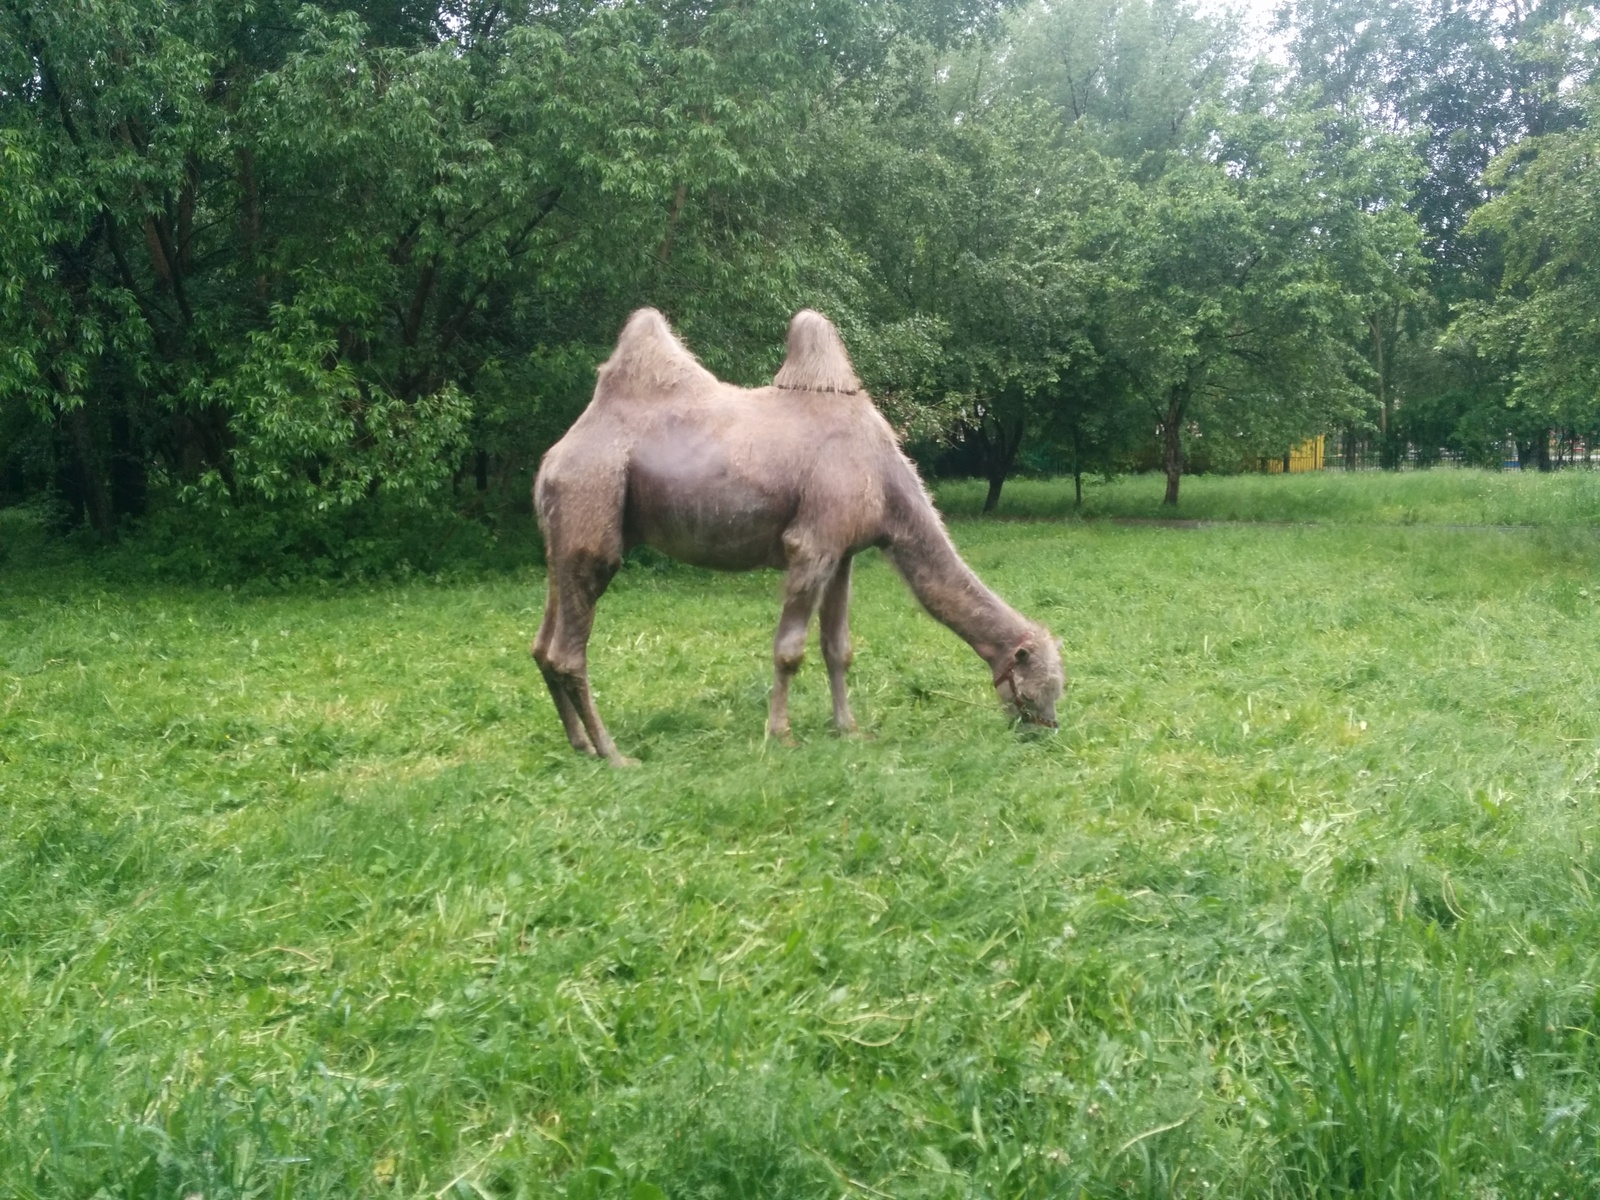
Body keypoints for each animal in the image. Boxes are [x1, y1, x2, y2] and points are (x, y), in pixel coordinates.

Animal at [531, 305, 1068, 764]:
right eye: (1042, 683)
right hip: (592, 498)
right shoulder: (813, 543)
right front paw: (781, 734)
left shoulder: (844, 551)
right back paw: (614, 754)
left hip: (563, 533)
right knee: (568, 649)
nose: (1046, 731)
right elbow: (789, 649)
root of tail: (555, 457)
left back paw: (579, 743)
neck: (886, 479)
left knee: (542, 643)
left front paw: (848, 728)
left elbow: (839, 648)